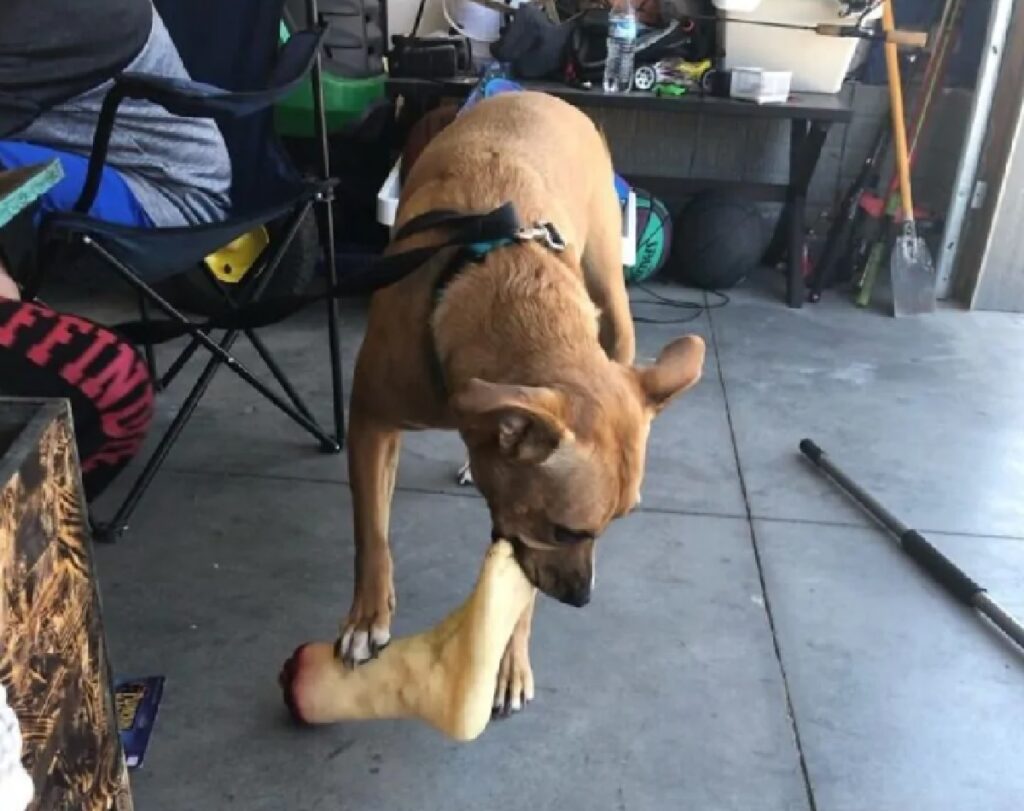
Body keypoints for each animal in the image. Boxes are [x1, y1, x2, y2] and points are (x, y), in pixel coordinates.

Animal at [342, 95, 704, 712]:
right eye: (564, 530)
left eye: (613, 526)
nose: (582, 599)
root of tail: (538, 94)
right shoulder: (370, 424)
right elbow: (372, 533)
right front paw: (368, 614)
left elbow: (520, 593)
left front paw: (511, 660)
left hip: (613, 297)